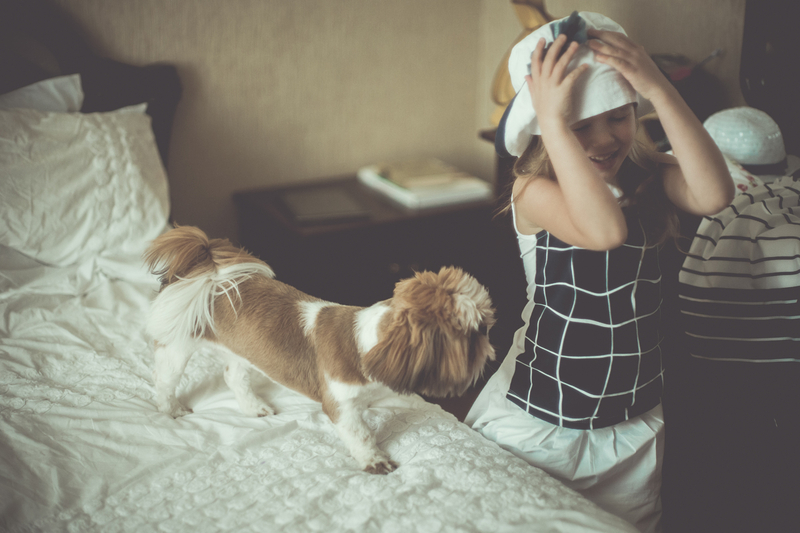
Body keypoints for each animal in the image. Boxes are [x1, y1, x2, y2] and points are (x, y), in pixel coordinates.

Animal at [143, 226, 496, 474]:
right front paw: (375, 460)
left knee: (234, 376)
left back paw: (253, 407)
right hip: (177, 346)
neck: (366, 344)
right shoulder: (340, 406)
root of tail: (211, 278)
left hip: (243, 350)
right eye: (474, 332)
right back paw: (172, 409)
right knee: (165, 381)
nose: (489, 340)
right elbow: (360, 434)